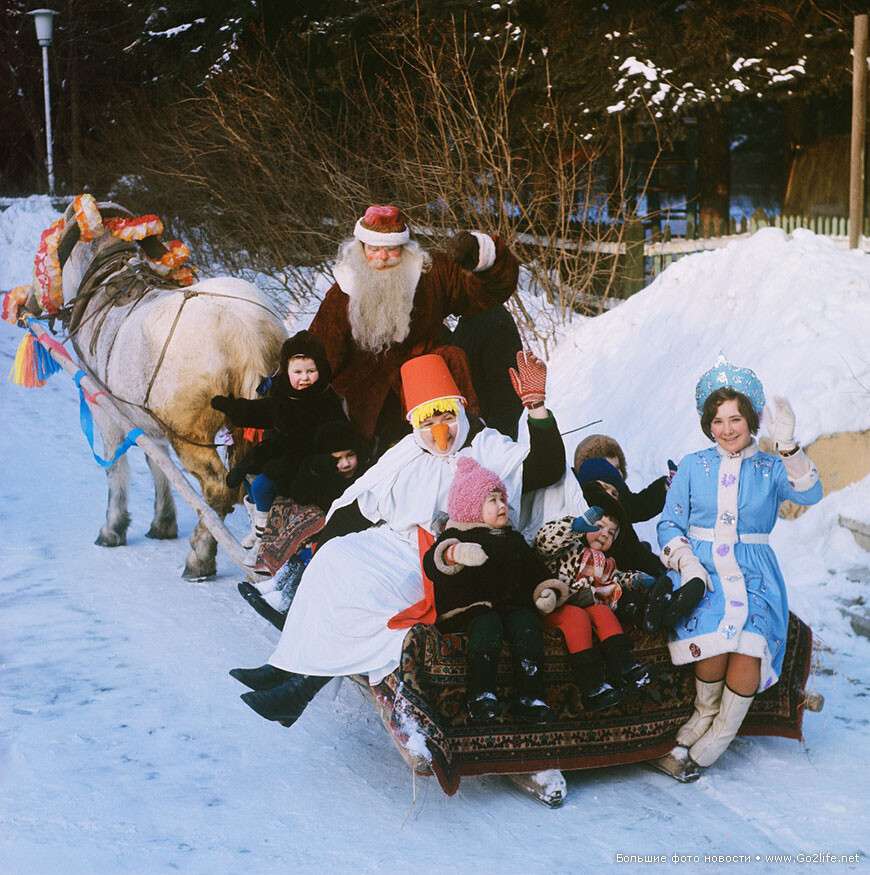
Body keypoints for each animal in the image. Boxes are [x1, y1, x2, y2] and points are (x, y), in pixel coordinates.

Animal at [42, 201, 288, 580]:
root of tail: (245, 334)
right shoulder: (147, 420)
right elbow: (157, 463)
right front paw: (163, 523)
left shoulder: (106, 410)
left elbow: (117, 468)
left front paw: (112, 529)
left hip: (190, 433)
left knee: (218, 488)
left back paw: (201, 557)